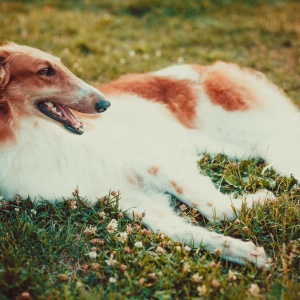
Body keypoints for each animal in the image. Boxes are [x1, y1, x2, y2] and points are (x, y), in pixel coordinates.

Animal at [0, 42, 298, 268]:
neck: (32, 139)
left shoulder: (148, 156)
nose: (105, 104)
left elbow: (216, 208)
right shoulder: (122, 194)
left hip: (257, 130)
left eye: (58, 66)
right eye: (45, 71)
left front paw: (260, 200)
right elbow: (180, 229)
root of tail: (207, 67)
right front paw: (239, 250)